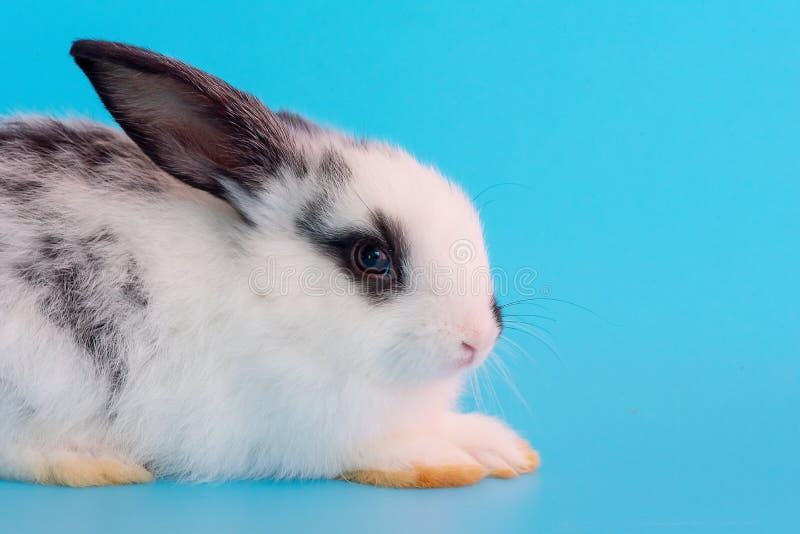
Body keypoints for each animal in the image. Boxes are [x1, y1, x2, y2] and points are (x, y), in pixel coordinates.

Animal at [0, 39, 540, 488]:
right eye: (372, 256)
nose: (478, 340)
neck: (269, 298)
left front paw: (502, 449)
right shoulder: (312, 431)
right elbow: (376, 449)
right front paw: (439, 462)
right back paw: (93, 463)